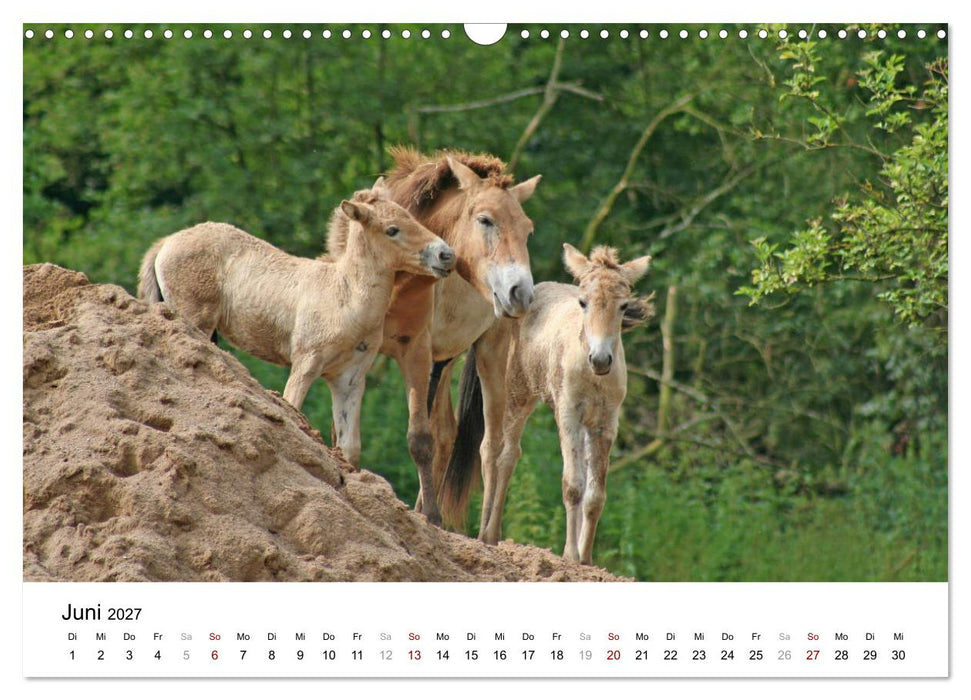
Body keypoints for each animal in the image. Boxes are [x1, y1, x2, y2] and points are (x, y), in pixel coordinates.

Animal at [137, 185, 455, 467]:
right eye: (392, 229)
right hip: (195, 320)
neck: (345, 296)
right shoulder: (305, 364)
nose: (446, 255)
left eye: (410, 216)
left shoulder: (349, 378)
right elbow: (293, 410)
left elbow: (349, 448)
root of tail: (166, 242)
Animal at [328, 147, 541, 526]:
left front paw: (431, 516)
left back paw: (484, 533)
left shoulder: (417, 353)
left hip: (489, 353)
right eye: (485, 220)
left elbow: (420, 438)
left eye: (527, 231)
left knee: (492, 449)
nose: (521, 293)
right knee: (447, 433)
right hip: (443, 362)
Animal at [442, 243, 654, 565]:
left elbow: (595, 495)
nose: (600, 359)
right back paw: (487, 534)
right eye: (583, 302)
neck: (591, 374)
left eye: (623, 306)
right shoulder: (568, 416)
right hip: (512, 396)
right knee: (497, 453)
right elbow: (573, 485)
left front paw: (586, 560)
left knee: (509, 456)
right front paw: (570, 555)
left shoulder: (605, 424)